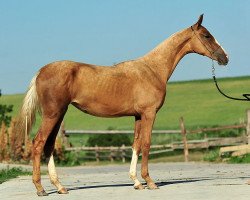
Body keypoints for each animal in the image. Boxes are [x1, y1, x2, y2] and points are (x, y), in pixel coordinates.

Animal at [17, 14, 229, 196]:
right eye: (207, 35)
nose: (225, 57)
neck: (153, 69)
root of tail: (41, 72)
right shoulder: (149, 113)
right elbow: (146, 143)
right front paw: (149, 182)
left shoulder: (138, 116)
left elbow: (136, 144)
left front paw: (136, 182)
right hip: (53, 114)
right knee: (38, 143)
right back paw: (40, 189)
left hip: (59, 113)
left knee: (49, 145)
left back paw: (60, 187)